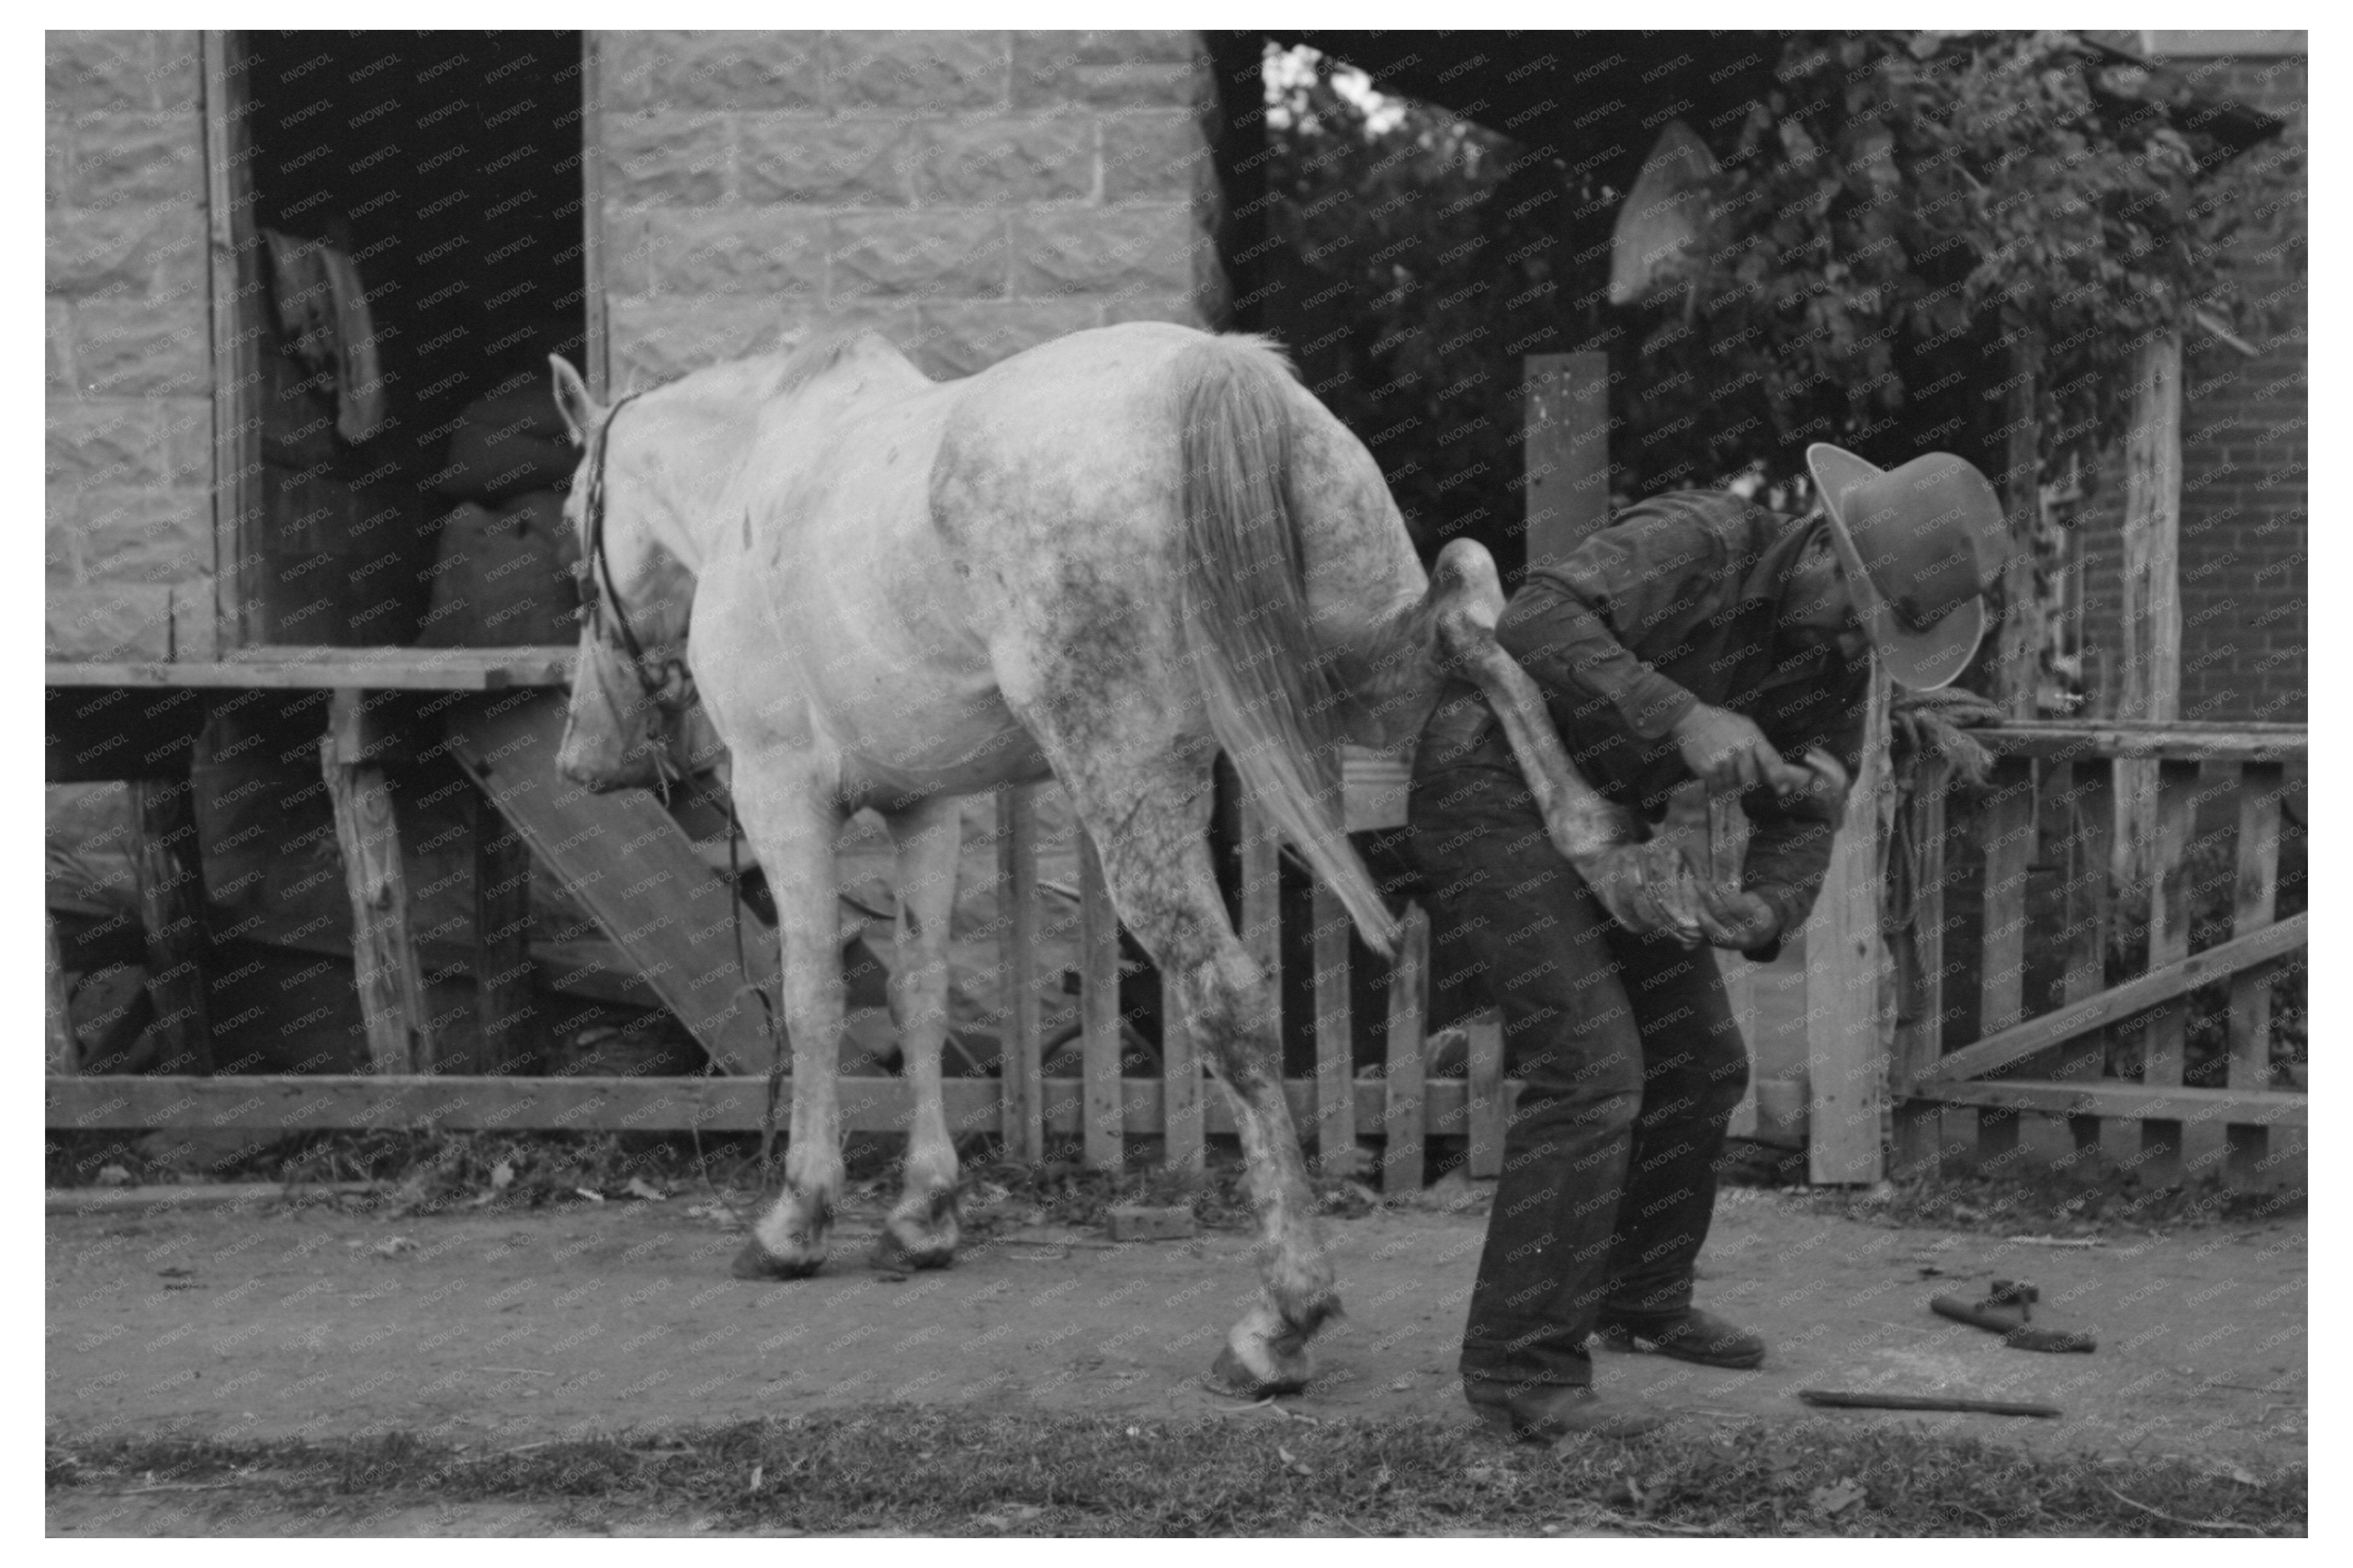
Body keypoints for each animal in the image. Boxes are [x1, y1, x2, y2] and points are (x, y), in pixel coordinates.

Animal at [545, 320, 1691, 1396]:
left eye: (572, 525)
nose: (583, 755)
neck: (764, 468)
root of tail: (1213, 372)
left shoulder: (782, 792)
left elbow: (814, 1000)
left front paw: (797, 1220)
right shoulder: (927, 808)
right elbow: (920, 996)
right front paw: (923, 1213)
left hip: (1128, 776)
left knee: (1225, 995)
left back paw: (1280, 1320)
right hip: (1369, 665)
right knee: (1471, 610)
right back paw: (1603, 844)